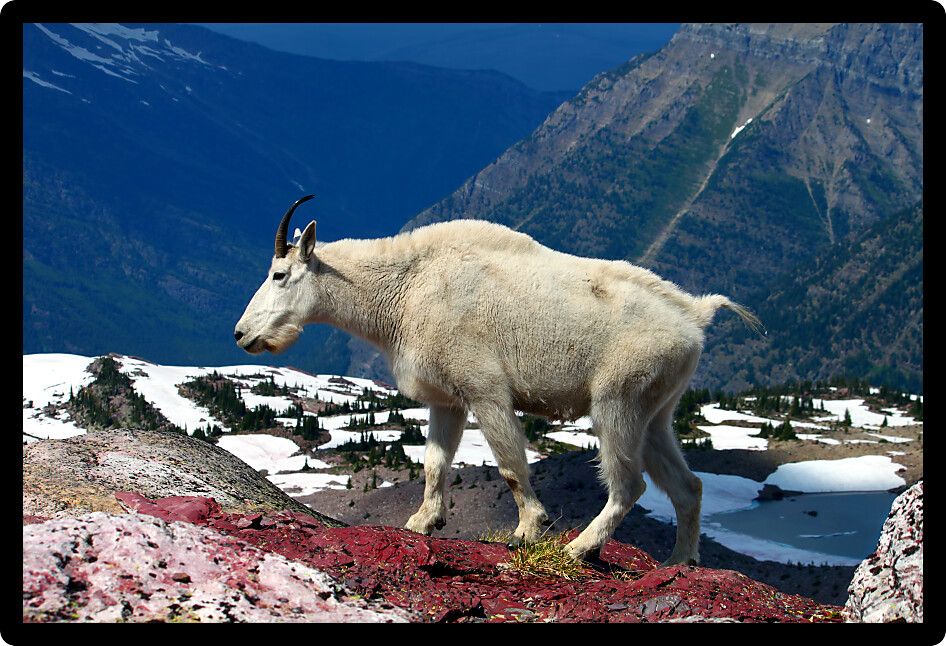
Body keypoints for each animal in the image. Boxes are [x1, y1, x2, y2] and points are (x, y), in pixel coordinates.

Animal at [234, 196, 763, 566]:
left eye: (279, 274)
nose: (241, 334)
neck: (406, 287)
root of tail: (694, 317)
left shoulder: (485, 389)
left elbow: (510, 463)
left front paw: (528, 530)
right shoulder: (447, 399)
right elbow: (434, 463)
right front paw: (422, 522)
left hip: (619, 401)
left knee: (629, 484)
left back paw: (580, 548)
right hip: (657, 411)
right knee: (688, 486)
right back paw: (680, 562)